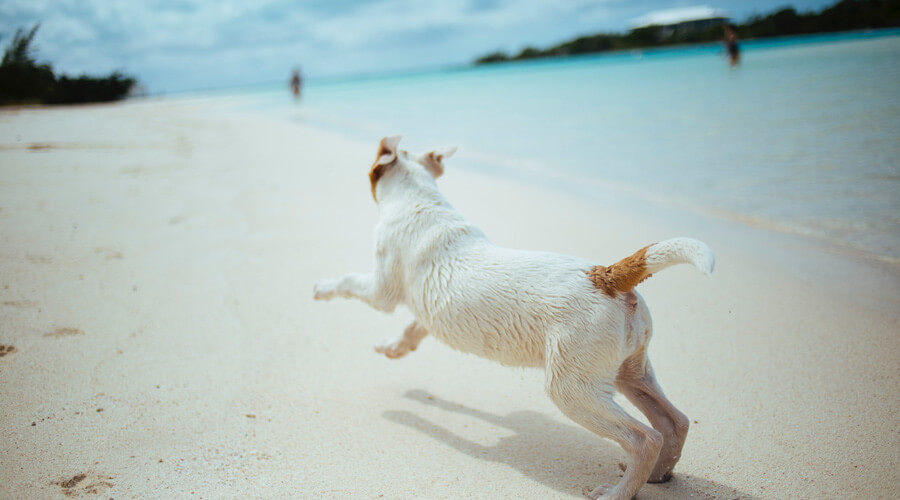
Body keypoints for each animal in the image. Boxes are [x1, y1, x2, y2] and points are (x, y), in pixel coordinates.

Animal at [312, 137, 712, 500]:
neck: (420, 200)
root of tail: (605, 276)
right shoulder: (429, 309)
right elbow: (413, 328)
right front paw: (393, 348)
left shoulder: (381, 290)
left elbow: (349, 282)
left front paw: (321, 288)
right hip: (629, 372)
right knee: (674, 421)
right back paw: (659, 475)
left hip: (572, 388)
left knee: (644, 438)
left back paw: (618, 492)